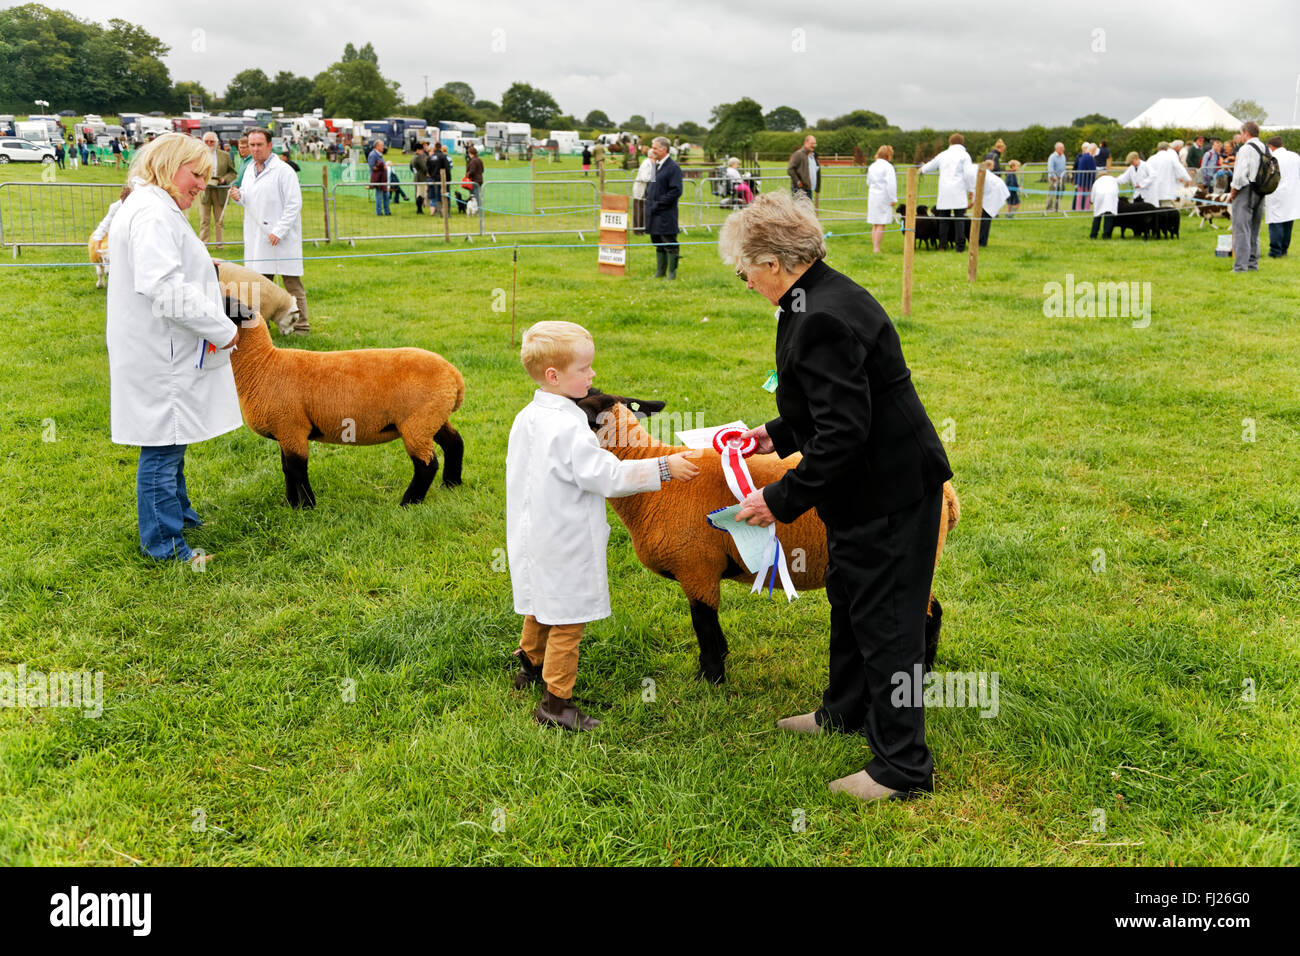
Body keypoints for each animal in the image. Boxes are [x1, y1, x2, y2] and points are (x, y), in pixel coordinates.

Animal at [219, 265, 467, 509]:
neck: (263, 364)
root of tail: (454, 376)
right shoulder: (285, 431)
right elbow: (287, 469)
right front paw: (291, 504)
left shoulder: (292, 427)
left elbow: (297, 470)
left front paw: (307, 506)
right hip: (432, 418)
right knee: (454, 443)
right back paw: (451, 484)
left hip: (417, 422)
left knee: (427, 464)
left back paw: (409, 502)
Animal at [574, 392, 961, 686]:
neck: (652, 481)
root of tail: (948, 494)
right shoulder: (704, 572)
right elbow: (712, 624)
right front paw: (720, 660)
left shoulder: (696, 567)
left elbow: (703, 622)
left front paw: (710, 679)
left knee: (925, 614)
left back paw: (923, 674)